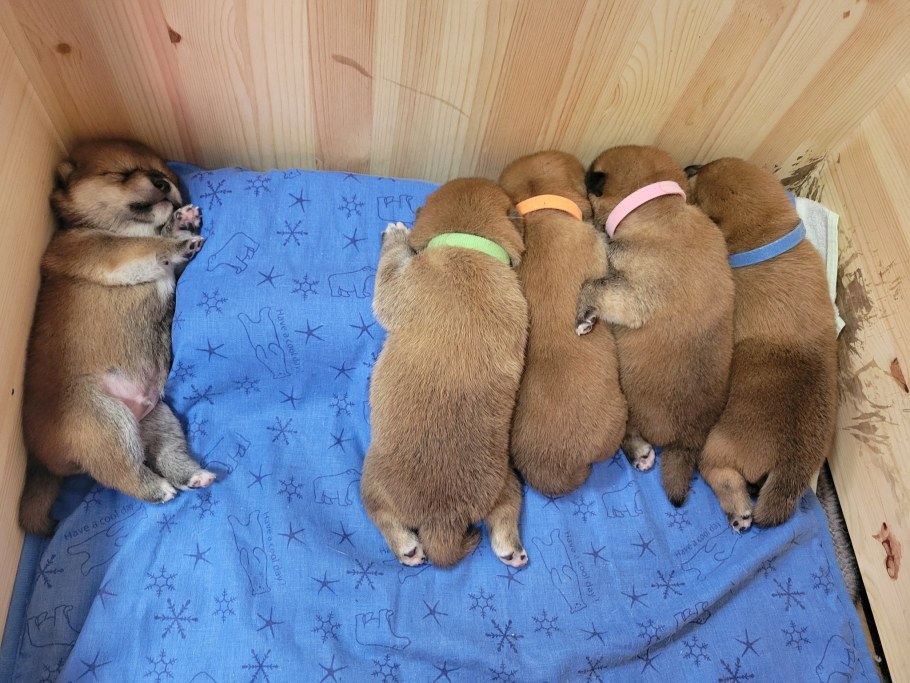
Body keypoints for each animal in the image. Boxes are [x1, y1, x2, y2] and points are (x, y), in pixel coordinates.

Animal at [20, 139, 214, 535]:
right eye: (122, 174)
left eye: (165, 175)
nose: (162, 182)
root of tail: (39, 459)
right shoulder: (112, 253)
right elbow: (153, 247)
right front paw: (179, 238)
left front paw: (180, 221)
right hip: (108, 423)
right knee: (123, 474)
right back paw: (158, 489)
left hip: (158, 421)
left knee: (166, 455)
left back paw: (194, 475)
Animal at [361, 178, 530, 568]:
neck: (468, 242)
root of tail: (444, 520)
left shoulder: (396, 285)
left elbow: (388, 267)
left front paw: (395, 235)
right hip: (507, 483)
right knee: (505, 516)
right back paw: (512, 550)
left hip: (371, 480)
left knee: (381, 515)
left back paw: (407, 547)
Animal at [576, 145, 734, 505]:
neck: (659, 209)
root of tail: (687, 440)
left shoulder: (629, 294)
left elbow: (594, 284)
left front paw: (584, 315)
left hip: (627, 401)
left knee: (629, 431)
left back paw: (639, 453)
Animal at [687, 157, 837, 529]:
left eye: (698, 194)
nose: (690, 166)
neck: (767, 241)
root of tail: (789, 465)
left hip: (716, 447)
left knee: (721, 475)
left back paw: (738, 510)